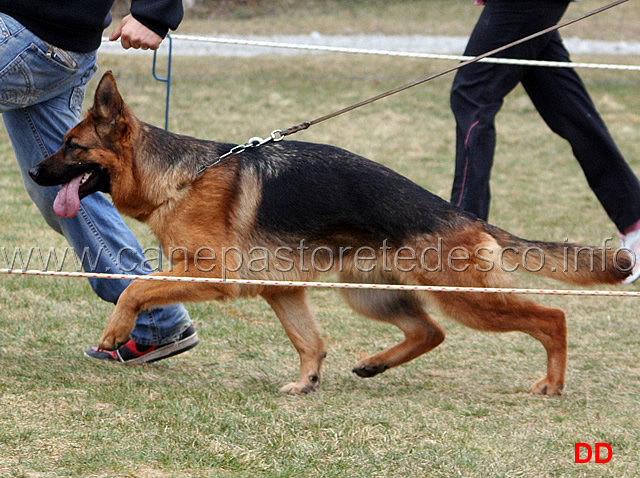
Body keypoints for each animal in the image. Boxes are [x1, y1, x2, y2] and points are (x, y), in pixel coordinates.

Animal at [28, 73, 632, 396]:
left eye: (72, 146)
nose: (32, 172)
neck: (180, 176)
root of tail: (466, 216)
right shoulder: (283, 289)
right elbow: (309, 341)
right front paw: (307, 383)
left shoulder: (212, 275)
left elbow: (136, 286)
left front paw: (114, 332)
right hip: (367, 293)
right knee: (430, 331)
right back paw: (376, 363)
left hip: (466, 299)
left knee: (551, 317)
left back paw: (552, 384)